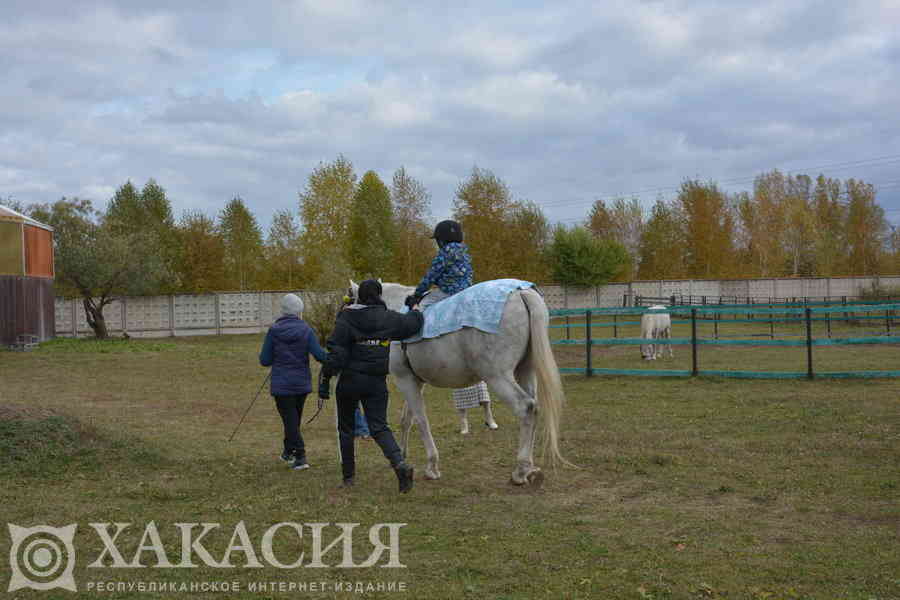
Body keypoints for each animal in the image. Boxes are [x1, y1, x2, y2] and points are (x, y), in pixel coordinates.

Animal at [350, 278, 568, 486]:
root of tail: (521, 291)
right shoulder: (415, 382)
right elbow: (407, 420)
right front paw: (402, 456)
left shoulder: (404, 380)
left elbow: (421, 420)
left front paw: (432, 467)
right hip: (525, 371)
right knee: (534, 408)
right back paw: (530, 469)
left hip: (497, 377)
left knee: (526, 408)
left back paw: (520, 472)